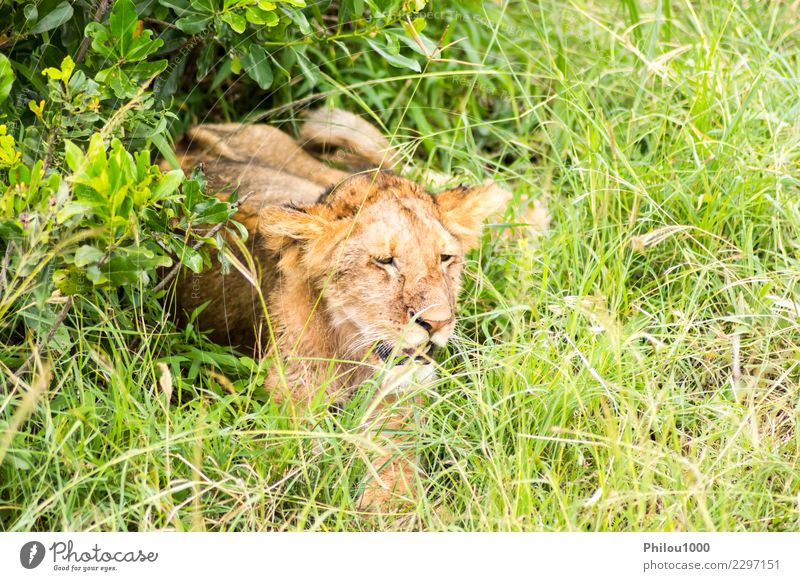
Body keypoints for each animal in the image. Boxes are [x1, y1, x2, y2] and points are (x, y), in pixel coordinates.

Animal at [172, 109, 510, 508]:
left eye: (445, 259)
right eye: (384, 261)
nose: (437, 322)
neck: (352, 352)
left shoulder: (395, 399)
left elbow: (393, 458)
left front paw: (395, 505)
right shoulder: (290, 407)